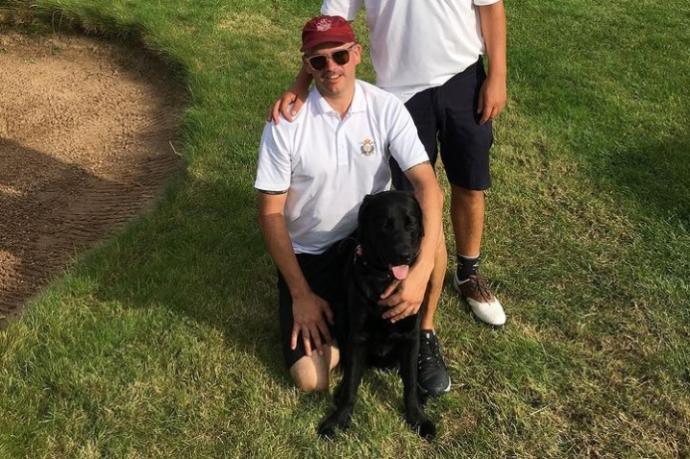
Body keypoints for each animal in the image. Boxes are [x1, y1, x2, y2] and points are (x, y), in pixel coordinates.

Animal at [318, 191, 436, 442]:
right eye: (384, 225)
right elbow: (352, 384)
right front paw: (338, 420)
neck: (384, 280)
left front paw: (418, 419)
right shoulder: (358, 337)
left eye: (411, 224)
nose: (404, 255)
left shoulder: (411, 337)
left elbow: (410, 383)